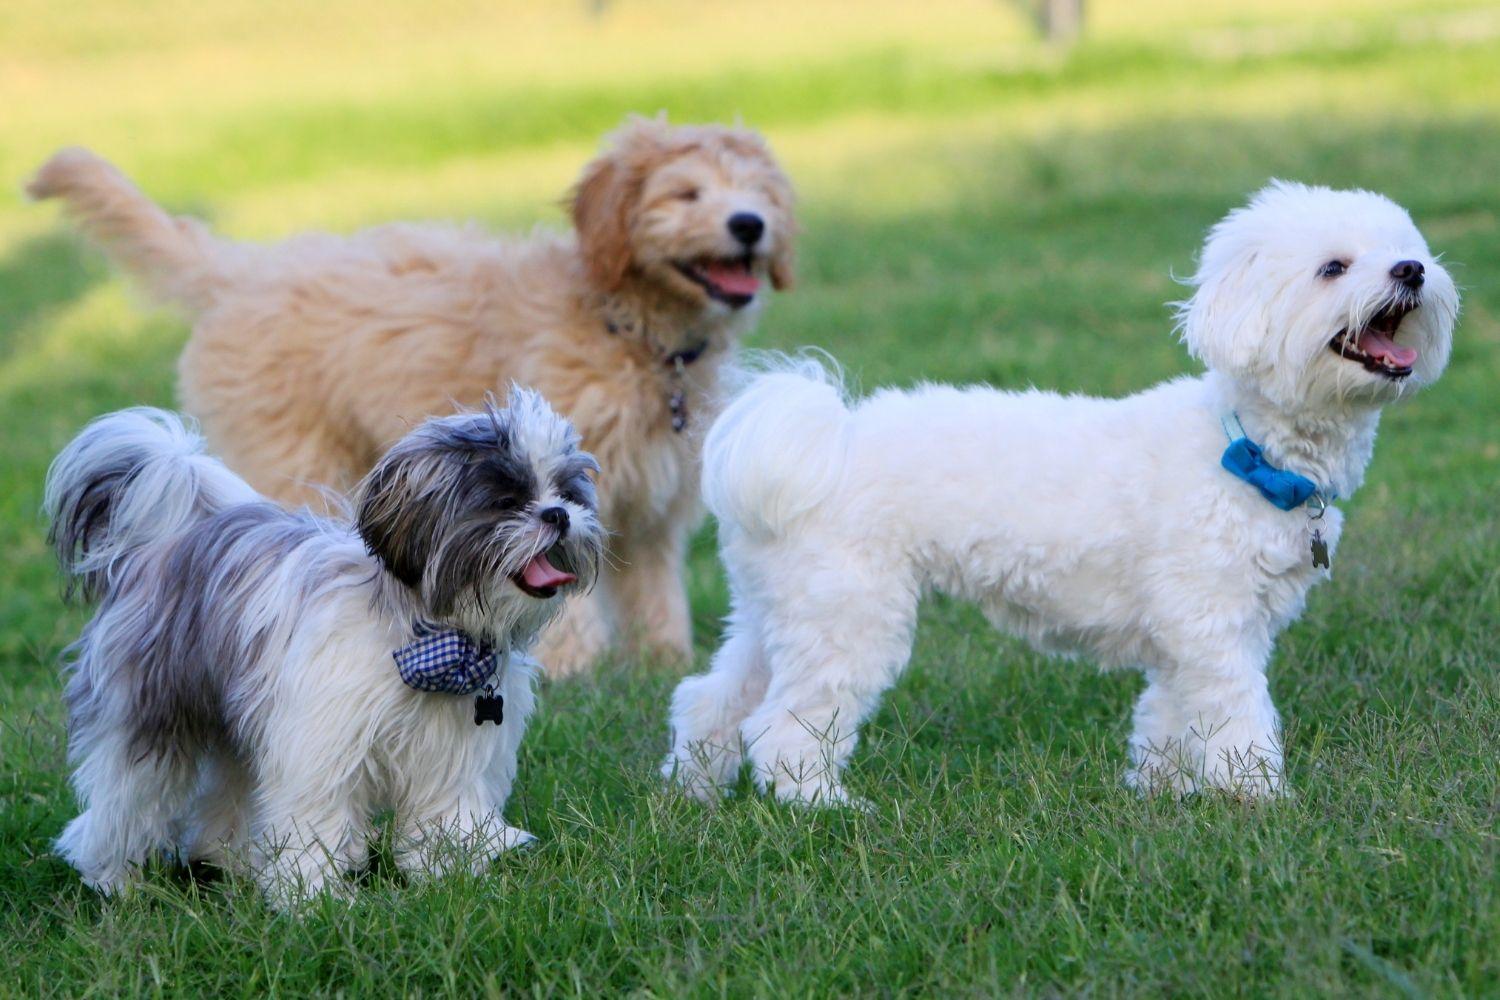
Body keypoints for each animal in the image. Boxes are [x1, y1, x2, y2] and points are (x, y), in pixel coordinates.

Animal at [29, 119, 798, 680]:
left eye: (756, 191)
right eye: (686, 194)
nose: (749, 224)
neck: (627, 327)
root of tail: (241, 271)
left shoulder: (651, 501)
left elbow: (654, 590)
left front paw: (665, 663)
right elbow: (554, 573)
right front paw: (572, 666)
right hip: (292, 455)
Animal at [43, 386, 603, 905]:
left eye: (568, 492)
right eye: (506, 500)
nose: (557, 515)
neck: (427, 637)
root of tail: (166, 543)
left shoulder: (452, 751)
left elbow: (447, 812)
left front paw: (454, 874)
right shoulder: (319, 745)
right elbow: (314, 820)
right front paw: (315, 898)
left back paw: (231, 861)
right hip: (151, 711)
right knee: (127, 797)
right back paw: (114, 876)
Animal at [666, 182, 1452, 803]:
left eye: (1403, 248)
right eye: (1332, 267)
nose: (1412, 270)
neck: (1244, 449)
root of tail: (821, 439)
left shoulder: (1188, 641)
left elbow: (1169, 720)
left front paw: (1164, 793)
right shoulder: (1213, 628)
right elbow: (1237, 721)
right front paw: (1256, 799)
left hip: (779, 611)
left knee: (712, 699)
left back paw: (694, 793)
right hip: (849, 615)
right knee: (782, 725)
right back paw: (818, 805)